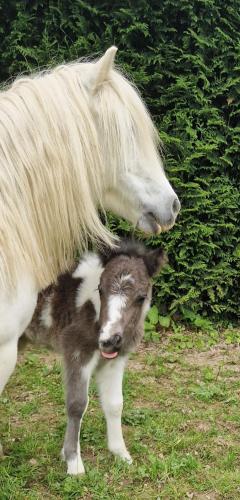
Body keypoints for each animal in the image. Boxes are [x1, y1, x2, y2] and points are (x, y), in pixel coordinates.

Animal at [24, 240, 167, 474]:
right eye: (100, 289)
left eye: (141, 297)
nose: (109, 340)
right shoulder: (76, 351)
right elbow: (76, 404)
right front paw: (73, 463)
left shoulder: (115, 360)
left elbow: (115, 403)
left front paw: (121, 453)